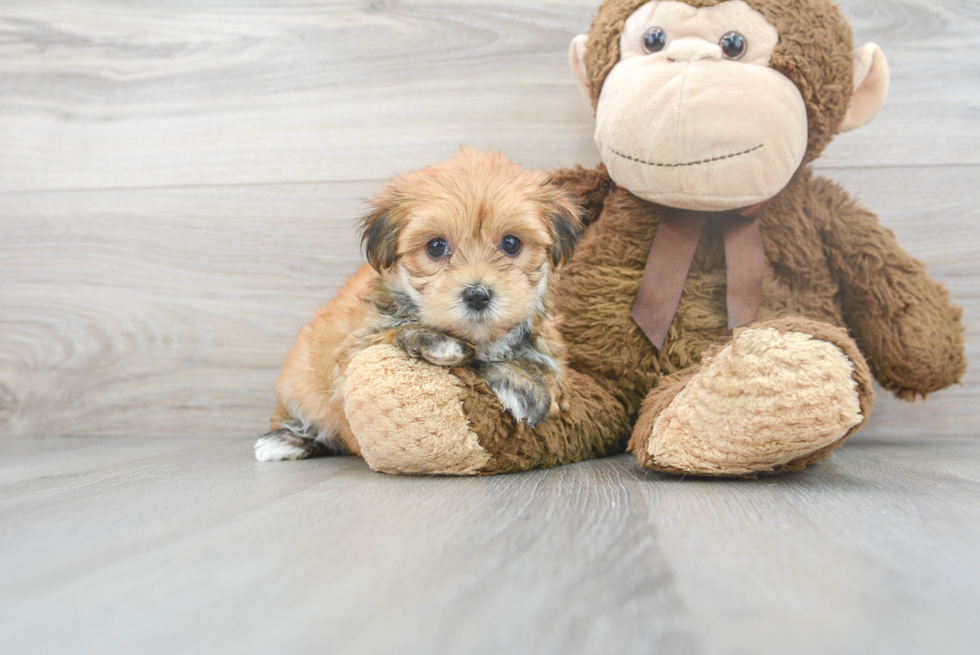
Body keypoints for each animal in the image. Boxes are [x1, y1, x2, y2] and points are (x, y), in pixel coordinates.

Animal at [256, 151, 584, 464]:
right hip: (298, 384)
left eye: (512, 243)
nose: (477, 295)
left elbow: (544, 367)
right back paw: (284, 441)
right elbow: (391, 333)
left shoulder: (550, 349)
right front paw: (436, 342)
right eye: (436, 247)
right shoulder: (356, 345)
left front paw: (524, 383)